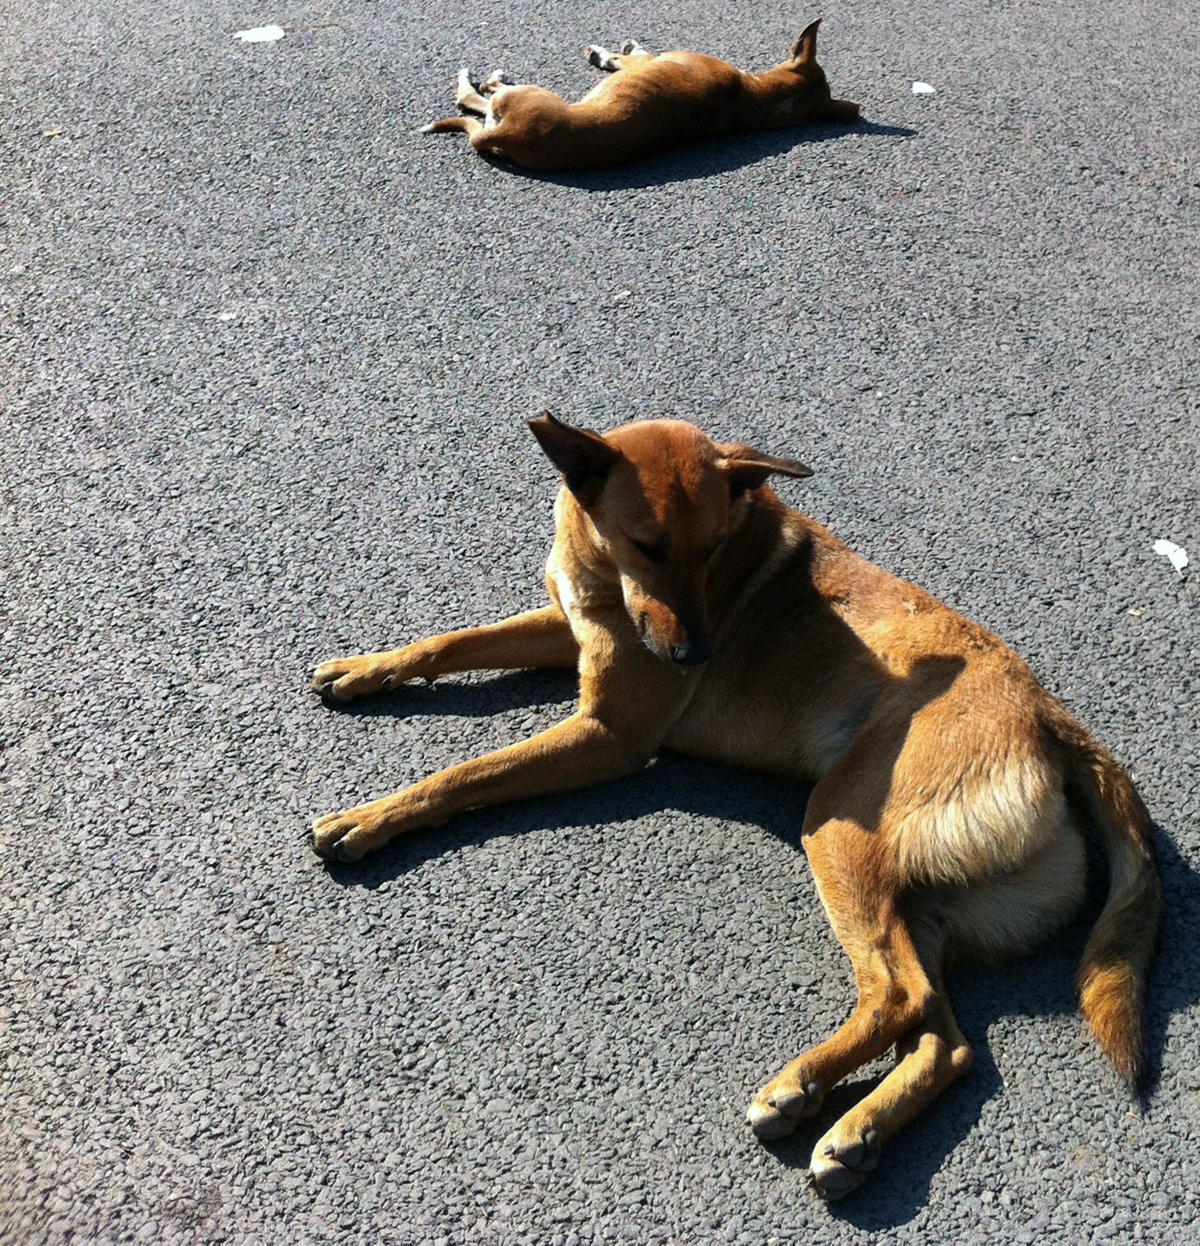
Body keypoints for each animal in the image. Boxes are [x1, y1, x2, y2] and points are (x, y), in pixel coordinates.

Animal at [311, 414, 1161, 1198]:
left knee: (898, 995)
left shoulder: (609, 734)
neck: (601, 571)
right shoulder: (564, 628)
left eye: (714, 548)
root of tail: (1053, 721)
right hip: (920, 902)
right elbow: (453, 642)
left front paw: (370, 817)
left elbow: (465, 772)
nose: (696, 654)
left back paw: (799, 1087)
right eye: (650, 545)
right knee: (944, 1040)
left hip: (837, 829)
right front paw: (368, 667)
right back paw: (855, 1130)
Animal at [420, 20, 859, 170]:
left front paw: (608, 52)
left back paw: (484, 78)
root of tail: (502, 134)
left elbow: (625, 56)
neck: (752, 96)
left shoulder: (644, 62)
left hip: (521, 98)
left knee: (473, 98)